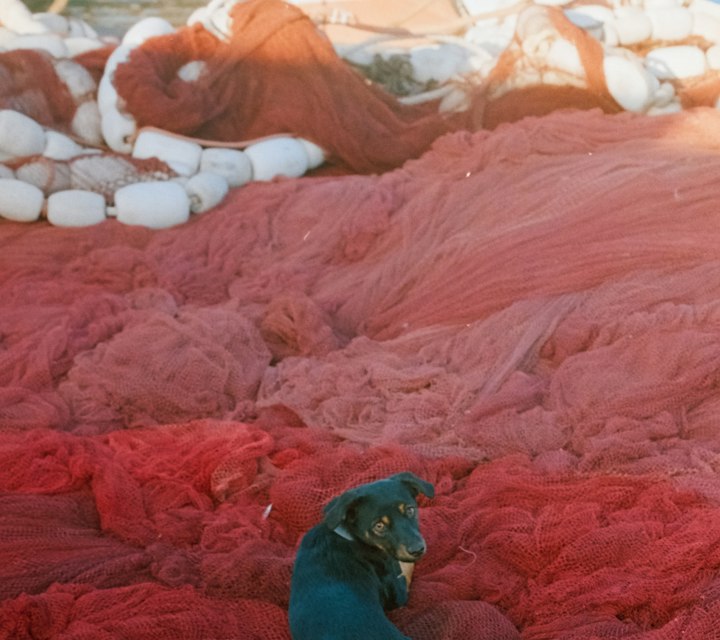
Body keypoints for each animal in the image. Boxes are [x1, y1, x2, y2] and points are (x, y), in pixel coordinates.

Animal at [286, 470, 434, 640]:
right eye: (379, 526)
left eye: (410, 510)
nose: (418, 549)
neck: (347, 533)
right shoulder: (397, 592)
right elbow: (405, 568)